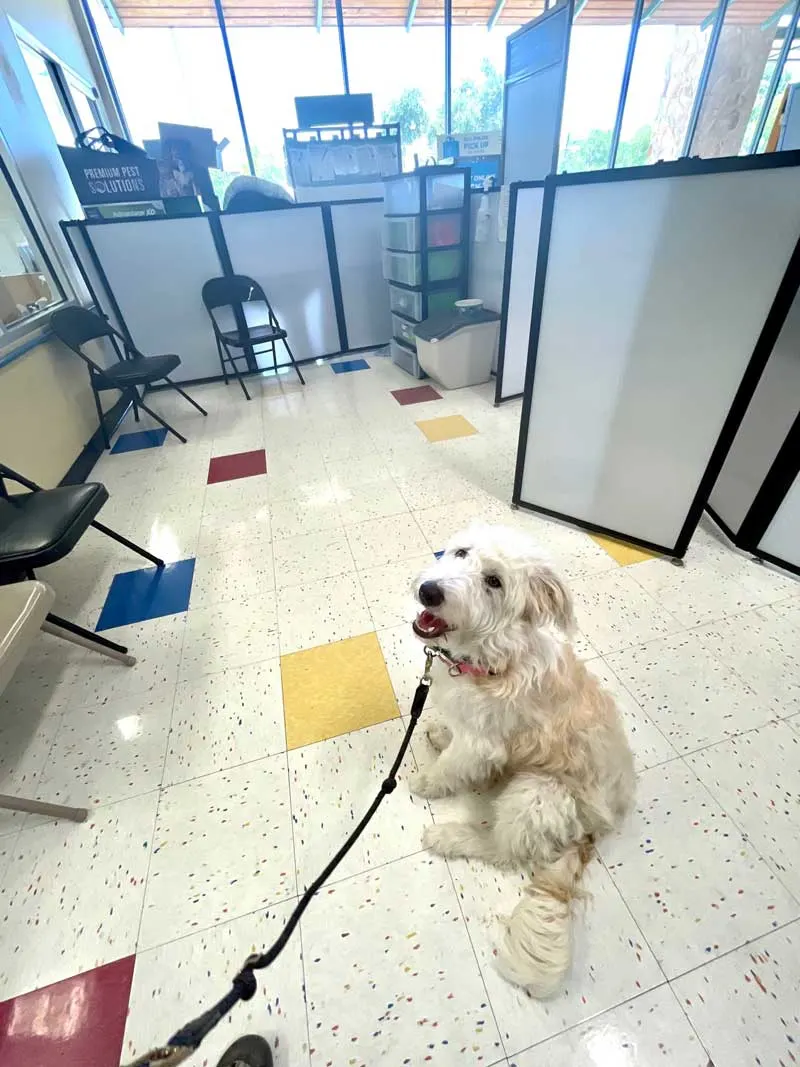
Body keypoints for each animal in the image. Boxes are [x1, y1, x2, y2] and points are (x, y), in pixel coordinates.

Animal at [409, 524, 635, 998]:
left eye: (494, 582)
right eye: (461, 552)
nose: (429, 591)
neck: (493, 656)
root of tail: (593, 832)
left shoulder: (481, 743)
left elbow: (452, 765)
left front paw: (425, 783)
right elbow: (453, 738)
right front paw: (440, 734)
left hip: (536, 792)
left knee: (505, 851)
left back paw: (451, 836)